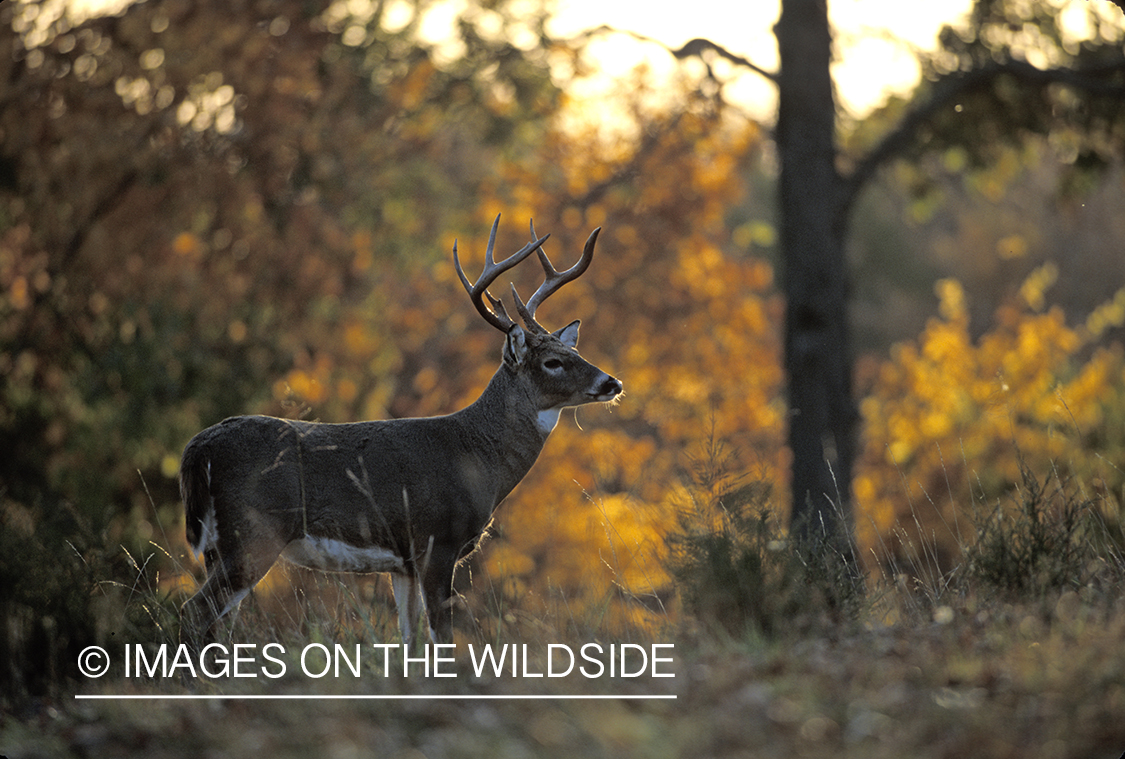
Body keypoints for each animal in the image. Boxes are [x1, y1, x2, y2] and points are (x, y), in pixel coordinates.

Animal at [178, 215, 622, 652]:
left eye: (576, 352)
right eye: (552, 362)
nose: (612, 382)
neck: (478, 456)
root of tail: (197, 448)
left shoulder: (404, 562)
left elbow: (409, 639)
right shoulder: (436, 541)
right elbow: (441, 638)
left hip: (219, 544)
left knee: (215, 622)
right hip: (254, 533)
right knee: (194, 611)